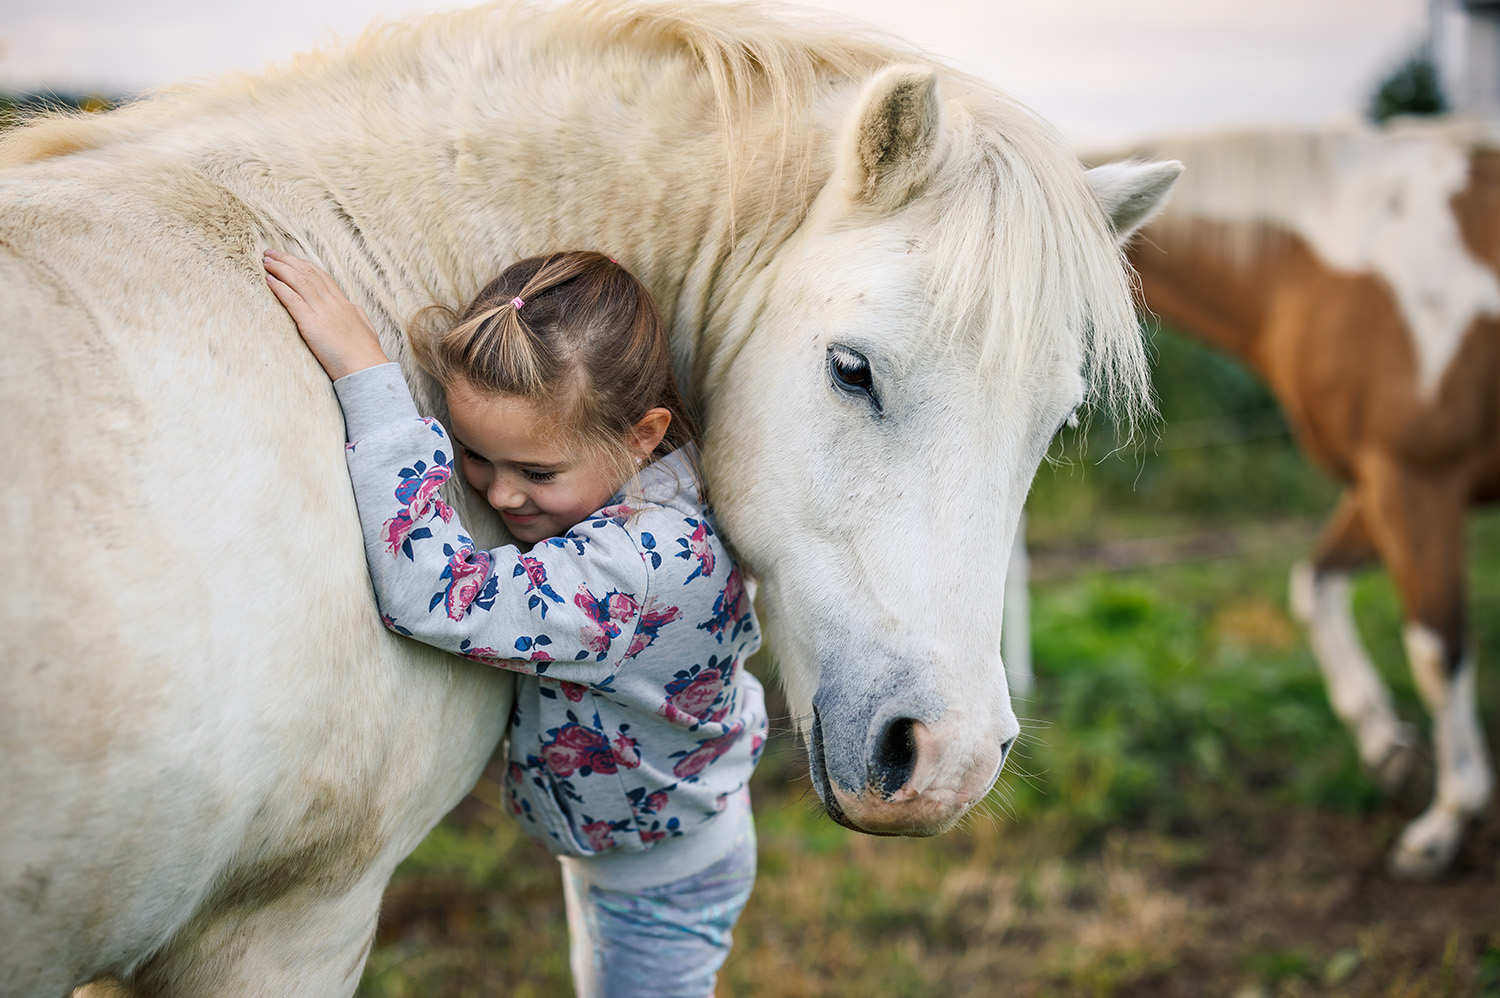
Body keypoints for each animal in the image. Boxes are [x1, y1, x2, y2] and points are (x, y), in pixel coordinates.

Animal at [1117, 120, 1497, 879]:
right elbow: (1313, 585)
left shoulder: (1419, 478)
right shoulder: (1380, 480)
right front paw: (1387, 747)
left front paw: (1447, 819)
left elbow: (1436, 648)